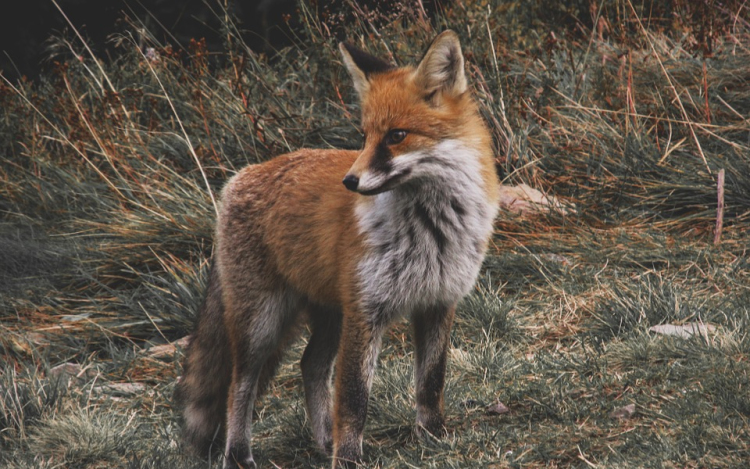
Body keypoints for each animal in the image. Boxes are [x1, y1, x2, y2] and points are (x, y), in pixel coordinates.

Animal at [177, 31, 502, 466]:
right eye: (364, 136)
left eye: (396, 136)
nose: (350, 181)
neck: (431, 229)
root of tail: (238, 178)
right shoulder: (365, 311)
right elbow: (353, 398)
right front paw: (347, 458)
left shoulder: (438, 302)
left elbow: (431, 382)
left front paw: (433, 436)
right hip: (261, 323)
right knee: (238, 385)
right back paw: (239, 454)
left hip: (330, 314)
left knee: (310, 366)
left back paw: (321, 441)